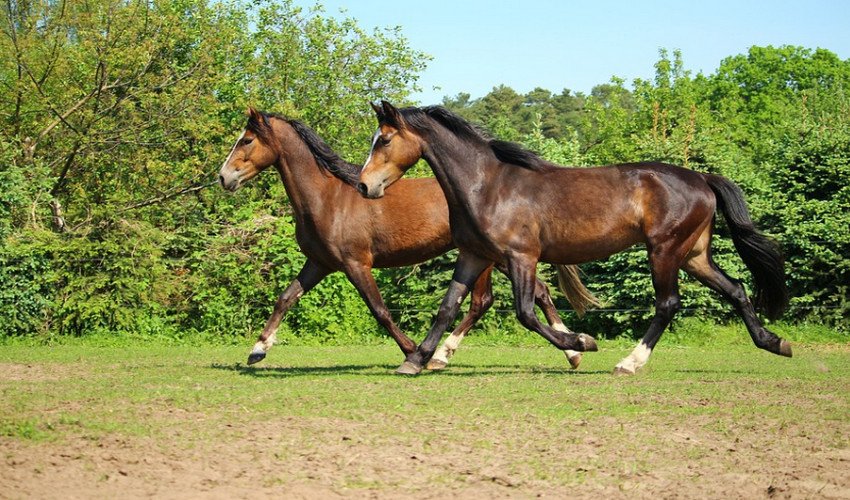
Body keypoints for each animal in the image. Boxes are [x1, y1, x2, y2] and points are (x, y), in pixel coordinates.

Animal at [217, 108, 596, 368]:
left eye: (246, 140)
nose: (223, 177)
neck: (328, 197)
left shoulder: (356, 264)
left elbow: (380, 311)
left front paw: (412, 351)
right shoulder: (320, 263)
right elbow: (285, 298)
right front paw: (258, 350)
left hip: (497, 257)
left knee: (502, 298)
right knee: (504, 298)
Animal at [358, 100, 788, 376]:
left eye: (384, 139)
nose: (363, 186)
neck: (488, 186)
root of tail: (702, 177)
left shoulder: (521, 257)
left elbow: (526, 313)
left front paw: (582, 343)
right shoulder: (473, 256)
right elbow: (447, 308)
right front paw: (416, 360)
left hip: (665, 251)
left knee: (668, 304)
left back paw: (628, 363)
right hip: (693, 255)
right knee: (735, 289)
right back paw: (774, 342)